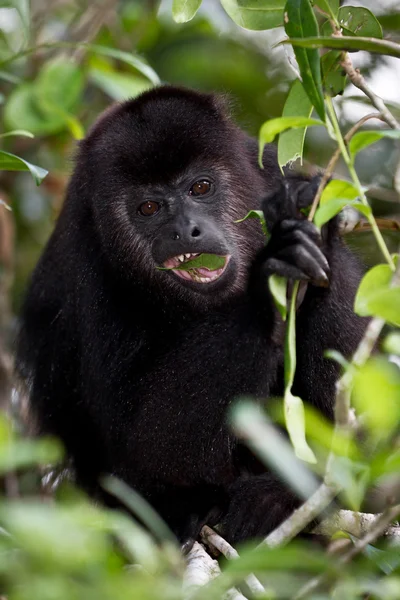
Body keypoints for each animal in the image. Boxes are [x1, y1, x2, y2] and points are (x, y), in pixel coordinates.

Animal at [16, 86, 366, 548]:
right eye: (148, 207)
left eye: (200, 187)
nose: (186, 229)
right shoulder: (86, 270)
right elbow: (143, 450)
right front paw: (268, 281)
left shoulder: (269, 169)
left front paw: (312, 225)